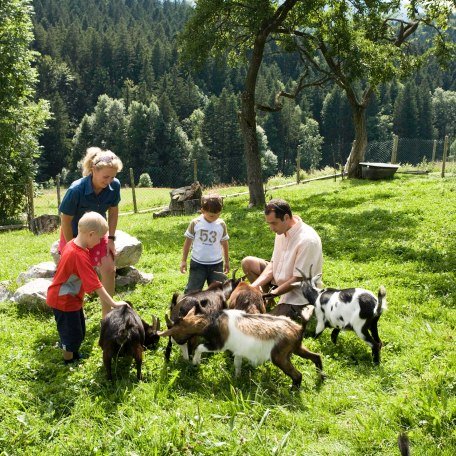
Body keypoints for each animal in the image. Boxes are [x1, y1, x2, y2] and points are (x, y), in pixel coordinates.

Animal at [157, 306, 324, 388]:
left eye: (175, 334)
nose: (184, 358)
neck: (211, 321)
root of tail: (299, 328)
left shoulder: (218, 344)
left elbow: (199, 347)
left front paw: (195, 362)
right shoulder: (238, 350)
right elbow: (237, 364)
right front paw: (237, 379)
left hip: (280, 356)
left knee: (298, 375)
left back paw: (293, 390)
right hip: (297, 348)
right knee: (316, 356)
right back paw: (322, 377)